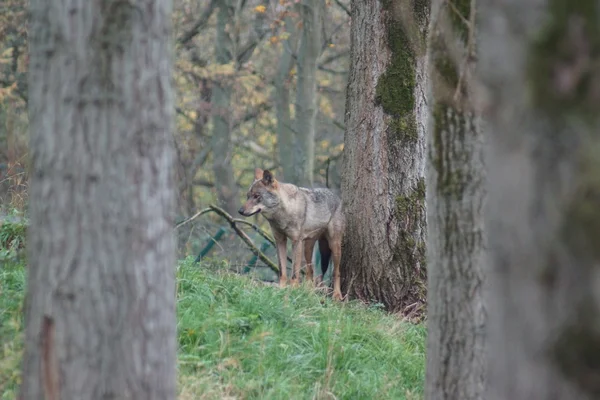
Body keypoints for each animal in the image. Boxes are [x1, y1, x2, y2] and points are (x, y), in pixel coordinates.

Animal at [238, 168, 344, 300]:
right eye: (248, 196)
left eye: (257, 196)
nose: (240, 211)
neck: (284, 214)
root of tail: (336, 196)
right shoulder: (280, 241)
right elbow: (282, 271)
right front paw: (281, 290)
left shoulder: (296, 242)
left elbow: (294, 273)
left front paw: (293, 291)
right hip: (308, 248)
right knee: (310, 271)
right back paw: (308, 293)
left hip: (333, 246)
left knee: (336, 272)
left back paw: (337, 295)